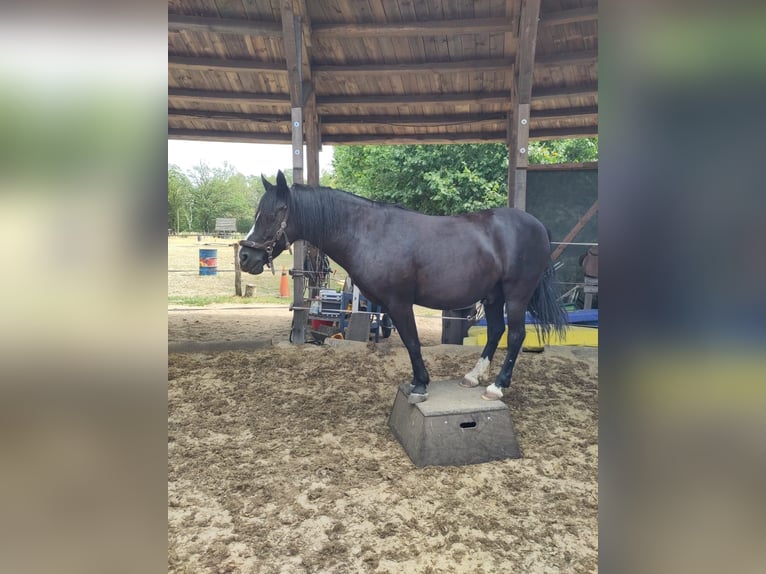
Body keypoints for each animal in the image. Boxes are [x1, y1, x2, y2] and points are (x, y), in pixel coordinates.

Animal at [240, 171, 568, 403]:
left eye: (273, 213)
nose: (245, 257)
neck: (368, 233)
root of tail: (537, 225)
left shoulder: (399, 303)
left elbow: (412, 342)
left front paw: (420, 385)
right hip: (493, 296)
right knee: (496, 331)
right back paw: (473, 377)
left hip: (516, 295)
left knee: (515, 335)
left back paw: (497, 387)